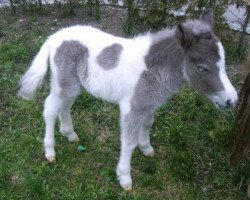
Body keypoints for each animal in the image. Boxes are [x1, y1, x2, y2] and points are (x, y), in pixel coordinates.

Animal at [18, 9, 238, 191]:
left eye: (223, 61)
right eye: (202, 68)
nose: (231, 100)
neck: (152, 69)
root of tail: (55, 36)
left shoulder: (148, 105)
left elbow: (147, 125)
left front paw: (147, 149)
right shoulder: (131, 108)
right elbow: (128, 141)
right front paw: (125, 178)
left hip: (73, 85)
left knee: (65, 106)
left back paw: (70, 134)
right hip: (64, 83)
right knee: (50, 108)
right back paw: (50, 152)